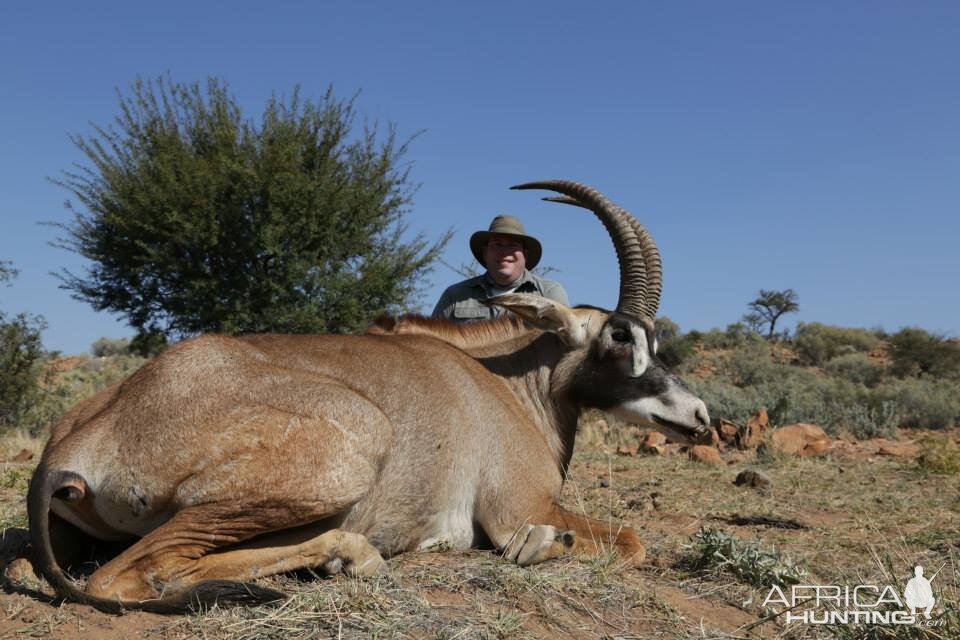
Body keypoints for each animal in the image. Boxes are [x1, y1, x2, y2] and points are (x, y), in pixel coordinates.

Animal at [22, 179, 708, 608]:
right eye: (620, 337)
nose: (700, 415)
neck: (507, 383)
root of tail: (74, 446)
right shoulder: (517, 507)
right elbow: (631, 540)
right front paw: (542, 545)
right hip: (350, 451)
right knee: (131, 574)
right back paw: (352, 555)